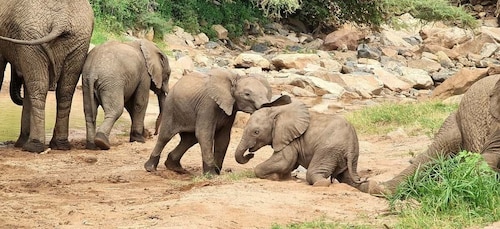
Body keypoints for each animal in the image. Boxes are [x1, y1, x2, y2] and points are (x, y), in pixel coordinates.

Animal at [0, 0, 94, 153]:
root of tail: (61, 20)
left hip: (33, 38)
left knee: (38, 88)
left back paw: (33, 147)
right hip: (78, 40)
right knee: (65, 91)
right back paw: (60, 145)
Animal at [144, 69, 286, 174]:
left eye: (266, 93)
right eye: (247, 94)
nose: (251, 155)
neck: (234, 78)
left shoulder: (230, 110)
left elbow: (223, 138)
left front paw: (217, 173)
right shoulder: (208, 104)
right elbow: (205, 134)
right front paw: (211, 175)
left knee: (189, 139)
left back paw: (175, 167)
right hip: (171, 108)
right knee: (165, 136)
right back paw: (150, 168)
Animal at [233, 99, 372, 191]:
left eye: (256, 132)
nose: (250, 154)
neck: (277, 110)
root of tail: (350, 144)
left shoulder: (290, 139)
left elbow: (285, 160)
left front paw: (274, 177)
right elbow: (289, 163)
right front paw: (285, 177)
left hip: (329, 150)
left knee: (312, 174)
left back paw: (322, 183)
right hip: (350, 155)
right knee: (349, 177)